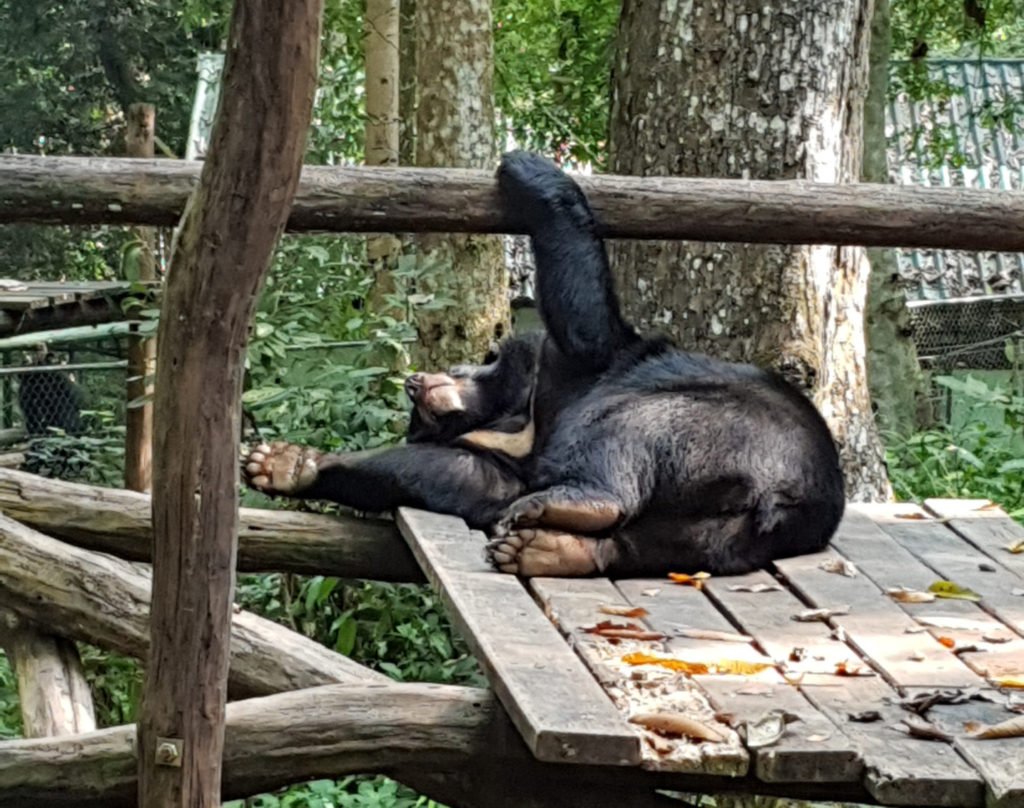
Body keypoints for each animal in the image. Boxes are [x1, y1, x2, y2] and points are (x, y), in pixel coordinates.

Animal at [243, 151, 843, 577]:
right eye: (418, 416)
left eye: (458, 367)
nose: (415, 381)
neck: (513, 409)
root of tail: (795, 500)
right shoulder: (502, 452)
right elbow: (463, 476)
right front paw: (281, 463)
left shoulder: (563, 364)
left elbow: (586, 332)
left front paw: (526, 165)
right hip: (722, 532)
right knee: (652, 539)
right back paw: (548, 546)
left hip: (725, 427)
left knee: (628, 427)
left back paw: (567, 506)